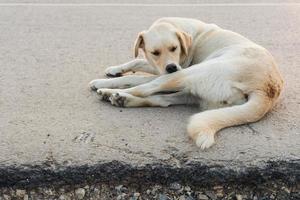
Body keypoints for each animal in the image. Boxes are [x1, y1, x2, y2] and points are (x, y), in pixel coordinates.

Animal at [89, 16, 284, 148]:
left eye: (174, 48)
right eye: (155, 52)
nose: (171, 67)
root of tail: (268, 90)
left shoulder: (172, 70)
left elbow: (134, 77)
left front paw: (102, 81)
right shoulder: (158, 66)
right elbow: (136, 61)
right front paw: (114, 69)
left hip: (189, 73)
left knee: (146, 88)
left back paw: (110, 93)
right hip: (193, 91)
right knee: (161, 100)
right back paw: (123, 99)